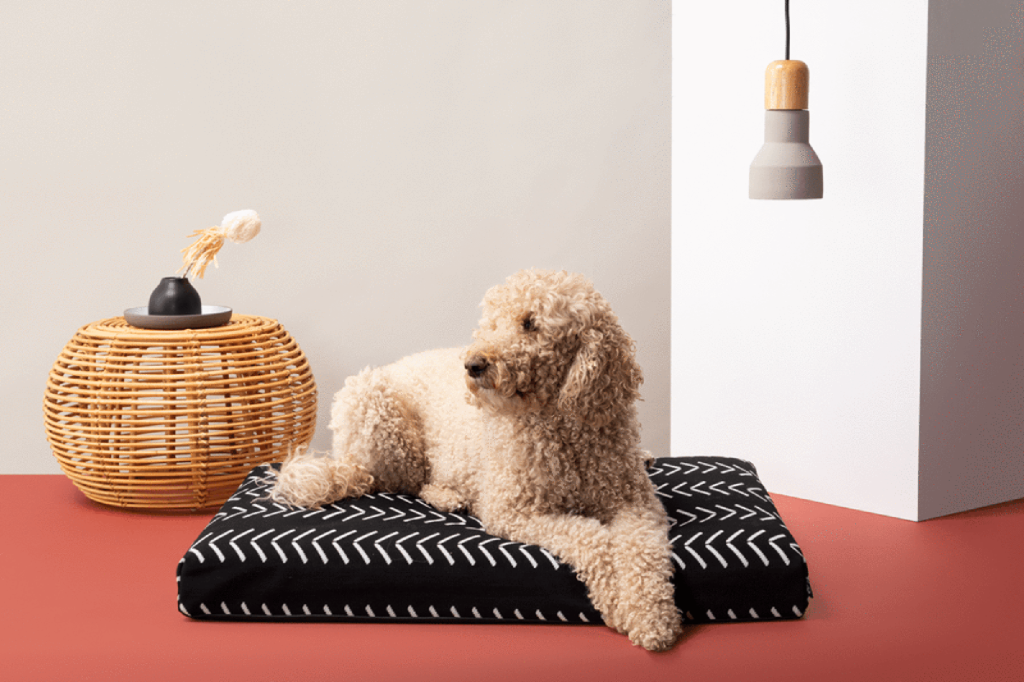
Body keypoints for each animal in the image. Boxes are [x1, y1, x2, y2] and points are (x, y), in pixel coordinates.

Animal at [270, 266, 679, 647]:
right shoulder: (513, 511)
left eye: (530, 323)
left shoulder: (636, 504)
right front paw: (619, 601)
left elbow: (643, 552)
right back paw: (446, 495)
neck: (561, 424)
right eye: (493, 323)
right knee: (402, 481)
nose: (473, 364)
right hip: (378, 414)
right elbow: (592, 538)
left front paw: (652, 618)